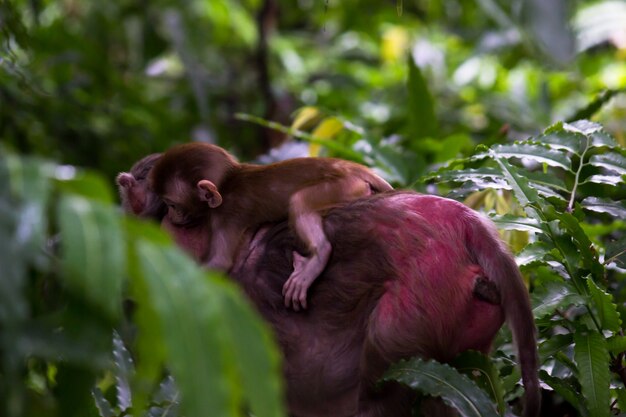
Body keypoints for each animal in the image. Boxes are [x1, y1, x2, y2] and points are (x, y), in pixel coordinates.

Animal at [149, 143, 390, 308]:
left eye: (172, 204)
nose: (171, 215)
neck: (228, 182)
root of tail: (353, 167)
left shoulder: (225, 215)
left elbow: (220, 261)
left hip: (343, 186)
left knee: (299, 201)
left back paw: (317, 257)